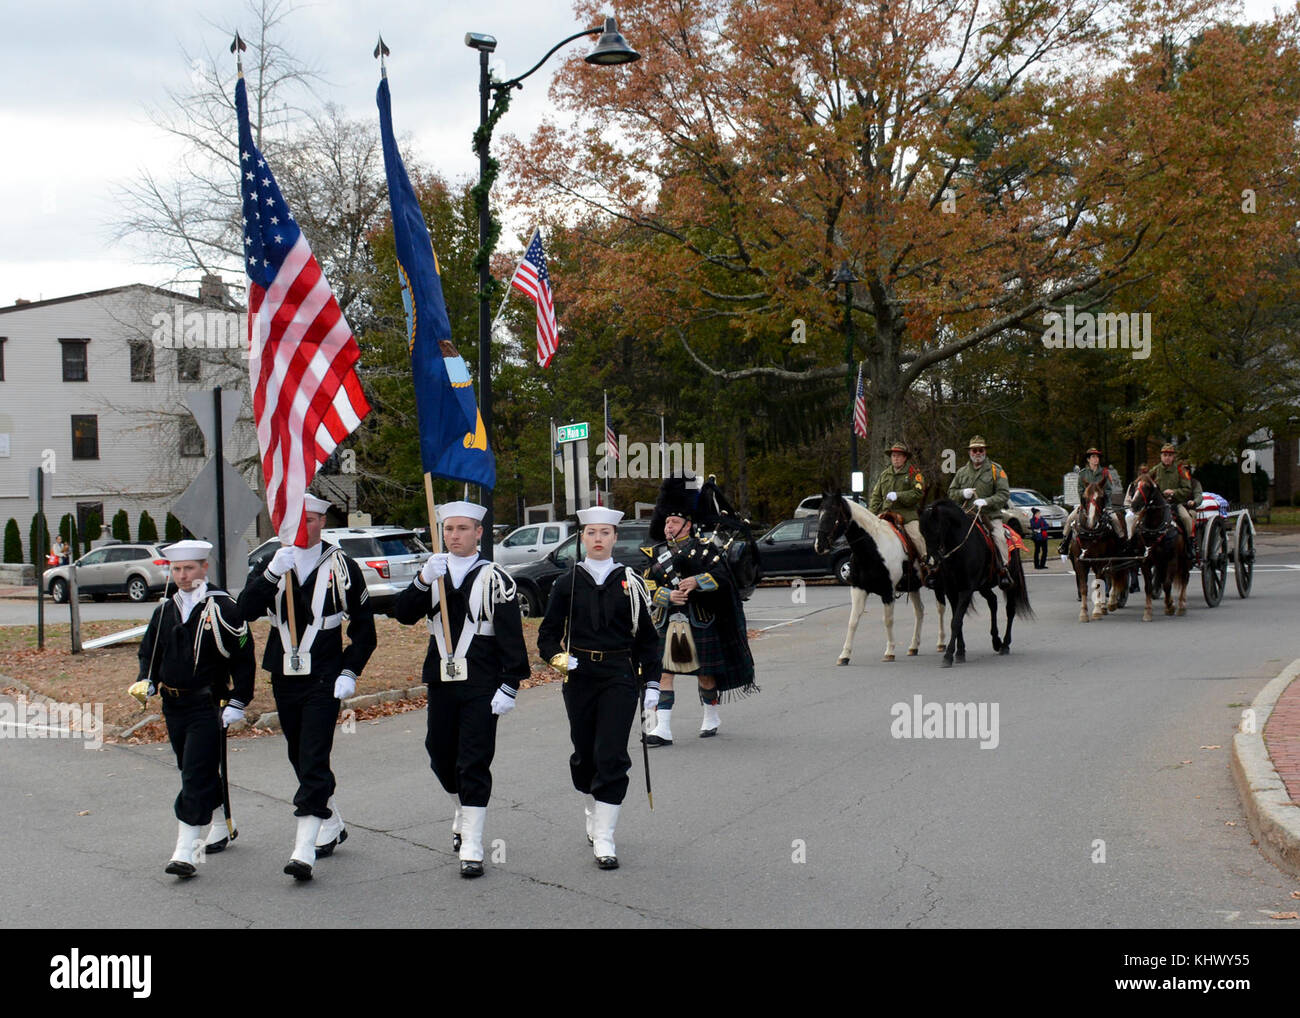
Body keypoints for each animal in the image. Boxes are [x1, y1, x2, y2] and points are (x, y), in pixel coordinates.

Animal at [811, 488, 946, 665]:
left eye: (834, 513)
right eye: (819, 512)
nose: (819, 546)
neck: (872, 549)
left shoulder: (888, 591)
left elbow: (888, 620)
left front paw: (889, 651)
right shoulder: (858, 589)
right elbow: (853, 621)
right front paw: (845, 655)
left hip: (938, 583)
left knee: (940, 608)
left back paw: (941, 643)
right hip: (913, 586)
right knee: (920, 611)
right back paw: (913, 646)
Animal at [920, 501, 1029, 670]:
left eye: (936, 529)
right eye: (922, 531)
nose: (932, 562)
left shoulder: (966, 589)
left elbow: (956, 621)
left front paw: (948, 655)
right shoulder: (951, 590)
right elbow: (956, 620)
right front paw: (960, 652)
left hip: (1010, 584)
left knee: (1010, 610)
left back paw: (1004, 644)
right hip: (983, 586)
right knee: (993, 601)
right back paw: (996, 641)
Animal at [1066, 483, 1128, 621]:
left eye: (1102, 497)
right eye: (1084, 498)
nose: (1092, 521)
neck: (1089, 533)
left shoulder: (1100, 562)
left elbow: (1099, 585)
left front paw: (1097, 611)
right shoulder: (1079, 562)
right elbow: (1084, 587)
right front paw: (1084, 613)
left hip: (1115, 558)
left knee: (1113, 577)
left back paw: (1111, 603)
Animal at [1128, 475, 1190, 621]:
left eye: (1147, 487)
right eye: (1135, 485)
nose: (1134, 504)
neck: (1155, 528)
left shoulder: (1172, 559)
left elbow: (1167, 584)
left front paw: (1170, 606)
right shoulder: (1145, 561)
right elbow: (1149, 587)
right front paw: (1148, 612)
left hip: (1184, 559)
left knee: (1185, 578)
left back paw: (1181, 605)